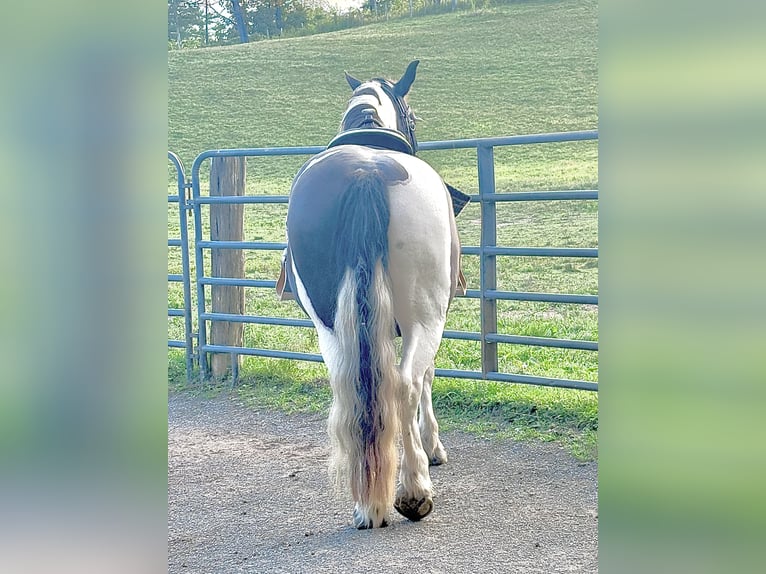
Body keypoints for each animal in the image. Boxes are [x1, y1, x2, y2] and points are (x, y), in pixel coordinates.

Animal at [284, 60, 461, 529]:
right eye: (414, 116)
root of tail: (366, 173)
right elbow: (427, 378)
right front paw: (433, 448)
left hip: (330, 325)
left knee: (352, 389)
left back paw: (367, 505)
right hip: (425, 316)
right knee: (405, 384)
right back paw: (414, 491)